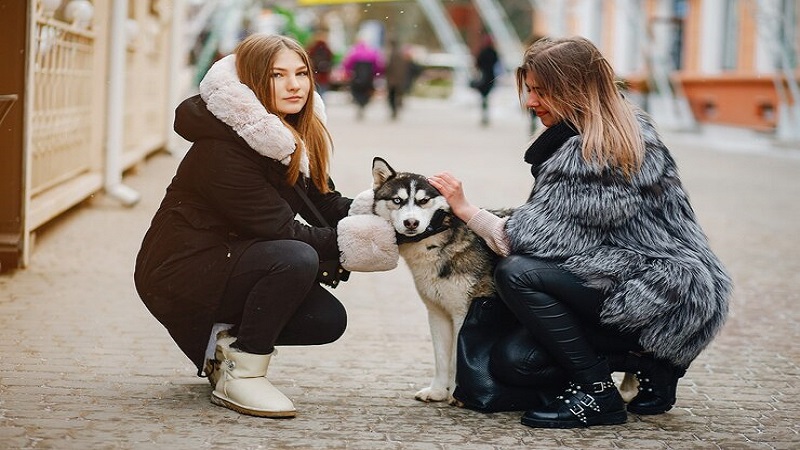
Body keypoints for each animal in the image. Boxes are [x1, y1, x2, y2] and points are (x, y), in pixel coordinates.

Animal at [368, 156, 506, 402]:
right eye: (397, 200)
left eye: (423, 201)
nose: (411, 223)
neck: (436, 244)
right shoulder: (437, 313)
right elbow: (442, 358)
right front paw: (438, 391)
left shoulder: (462, 314)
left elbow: (455, 359)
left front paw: (456, 394)